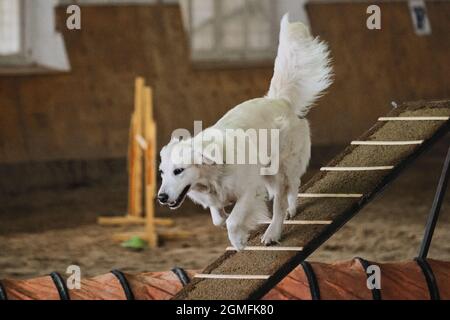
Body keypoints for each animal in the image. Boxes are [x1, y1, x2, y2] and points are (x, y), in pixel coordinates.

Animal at [157, 14, 330, 250]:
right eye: (162, 173)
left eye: (178, 171)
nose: (161, 197)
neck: (213, 173)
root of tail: (278, 100)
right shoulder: (217, 197)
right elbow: (218, 217)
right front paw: (225, 221)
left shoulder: (250, 189)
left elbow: (233, 220)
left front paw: (239, 241)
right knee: (286, 192)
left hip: (280, 168)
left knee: (285, 195)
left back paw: (274, 230)